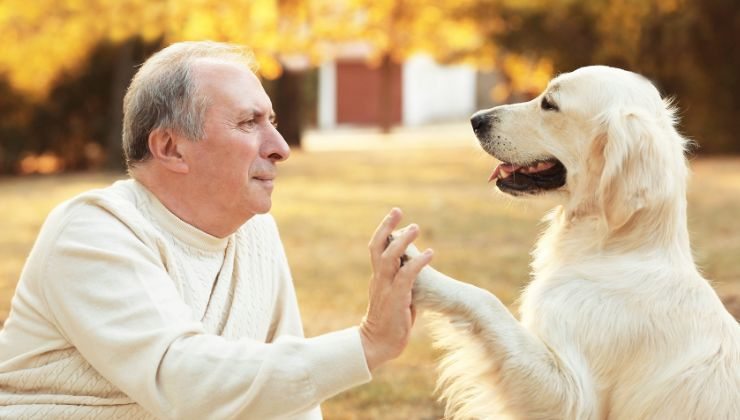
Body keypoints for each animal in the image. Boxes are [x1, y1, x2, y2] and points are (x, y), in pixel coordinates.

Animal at [404, 66, 740, 420]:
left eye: (549, 104)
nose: (476, 119)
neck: (616, 250)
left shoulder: (573, 397)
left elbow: (485, 300)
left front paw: (417, 269)